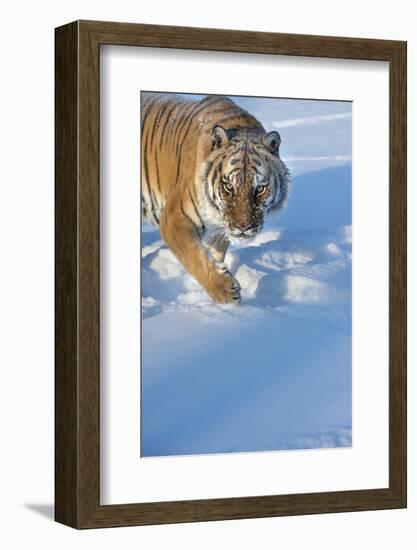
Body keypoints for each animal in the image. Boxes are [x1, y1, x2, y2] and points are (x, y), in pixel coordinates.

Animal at [140, 92, 290, 304]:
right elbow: (194, 255)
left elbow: (212, 255)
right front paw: (226, 291)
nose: (243, 228)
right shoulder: (174, 218)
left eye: (260, 189)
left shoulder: (219, 230)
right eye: (229, 186)